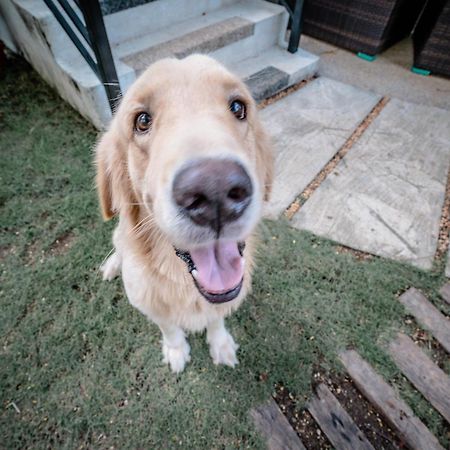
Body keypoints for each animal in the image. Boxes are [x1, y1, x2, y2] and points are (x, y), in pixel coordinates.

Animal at [96, 54, 272, 370]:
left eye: (238, 107)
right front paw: (176, 351)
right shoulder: (150, 304)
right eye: (142, 121)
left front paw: (220, 344)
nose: (215, 191)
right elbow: (169, 327)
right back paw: (112, 265)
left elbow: (216, 319)